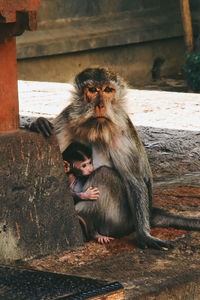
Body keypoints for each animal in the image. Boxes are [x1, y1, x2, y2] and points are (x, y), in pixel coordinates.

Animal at [29, 67, 200, 248]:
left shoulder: (121, 131)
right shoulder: (65, 120)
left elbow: (133, 180)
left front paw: (144, 235)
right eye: (92, 90)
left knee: (105, 175)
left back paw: (88, 227)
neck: (94, 127)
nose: (100, 106)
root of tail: (151, 211)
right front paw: (38, 123)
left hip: (120, 220)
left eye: (107, 90)